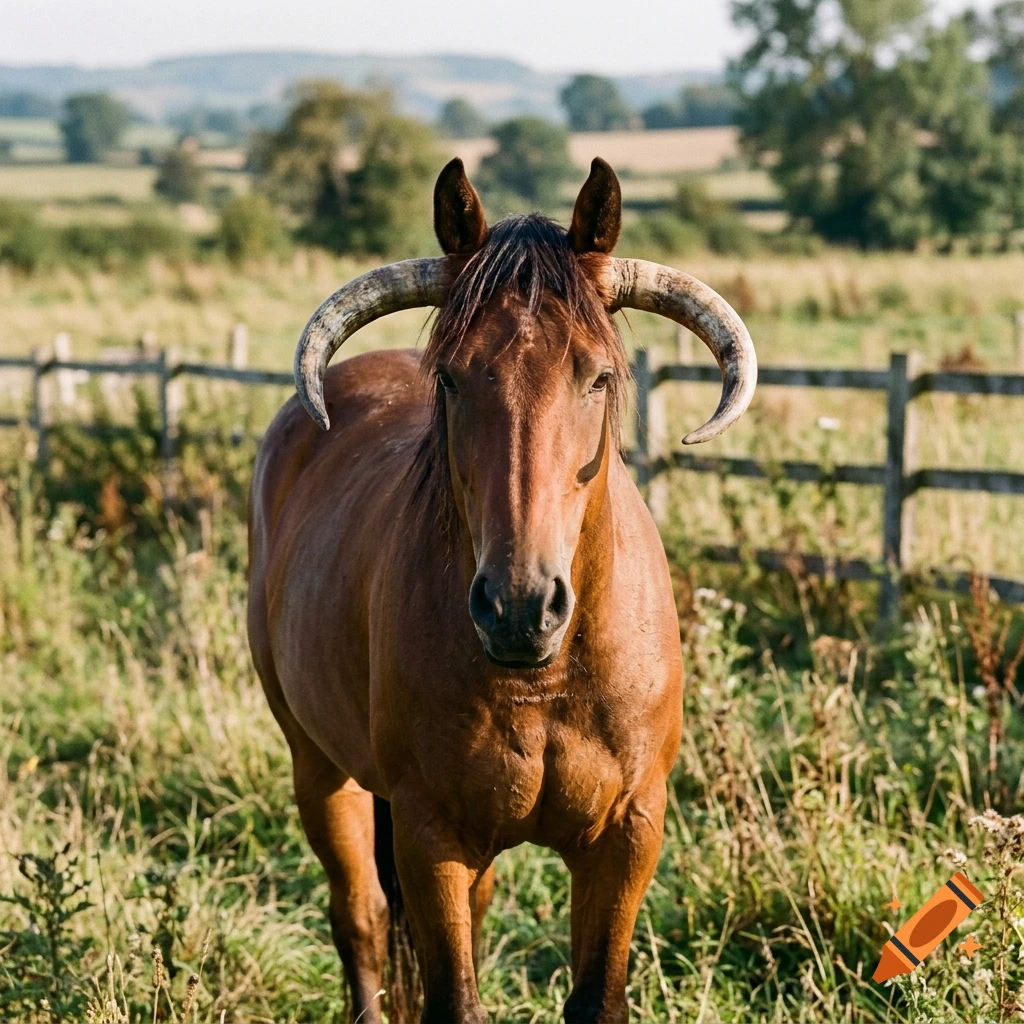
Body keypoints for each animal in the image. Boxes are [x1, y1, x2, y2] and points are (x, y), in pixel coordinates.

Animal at [247, 156, 756, 1023]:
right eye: (451, 379)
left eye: (598, 377)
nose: (520, 608)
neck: (542, 681)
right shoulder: (431, 834)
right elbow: (450, 994)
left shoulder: (628, 835)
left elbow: (595, 996)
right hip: (319, 769)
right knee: (360, 916)